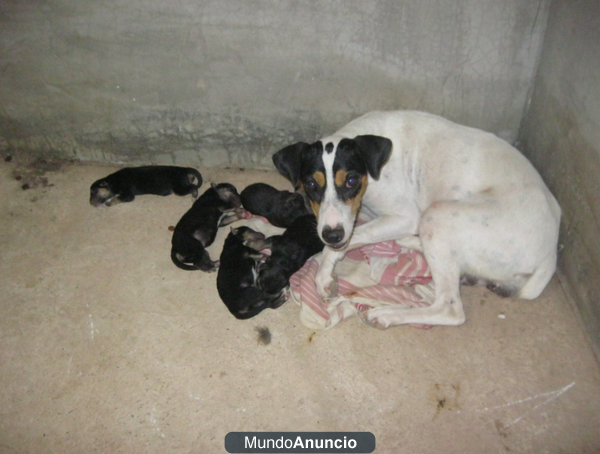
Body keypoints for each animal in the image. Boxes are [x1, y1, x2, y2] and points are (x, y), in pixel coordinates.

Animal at [274, 111, 564, 328]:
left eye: (352, 181)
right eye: (311, 184)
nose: (331, 234)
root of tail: (550, 255)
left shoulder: (405, 216)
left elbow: (352, 238)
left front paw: (324, 272)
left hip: (437, 216)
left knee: (450, 308)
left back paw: (388, 313)